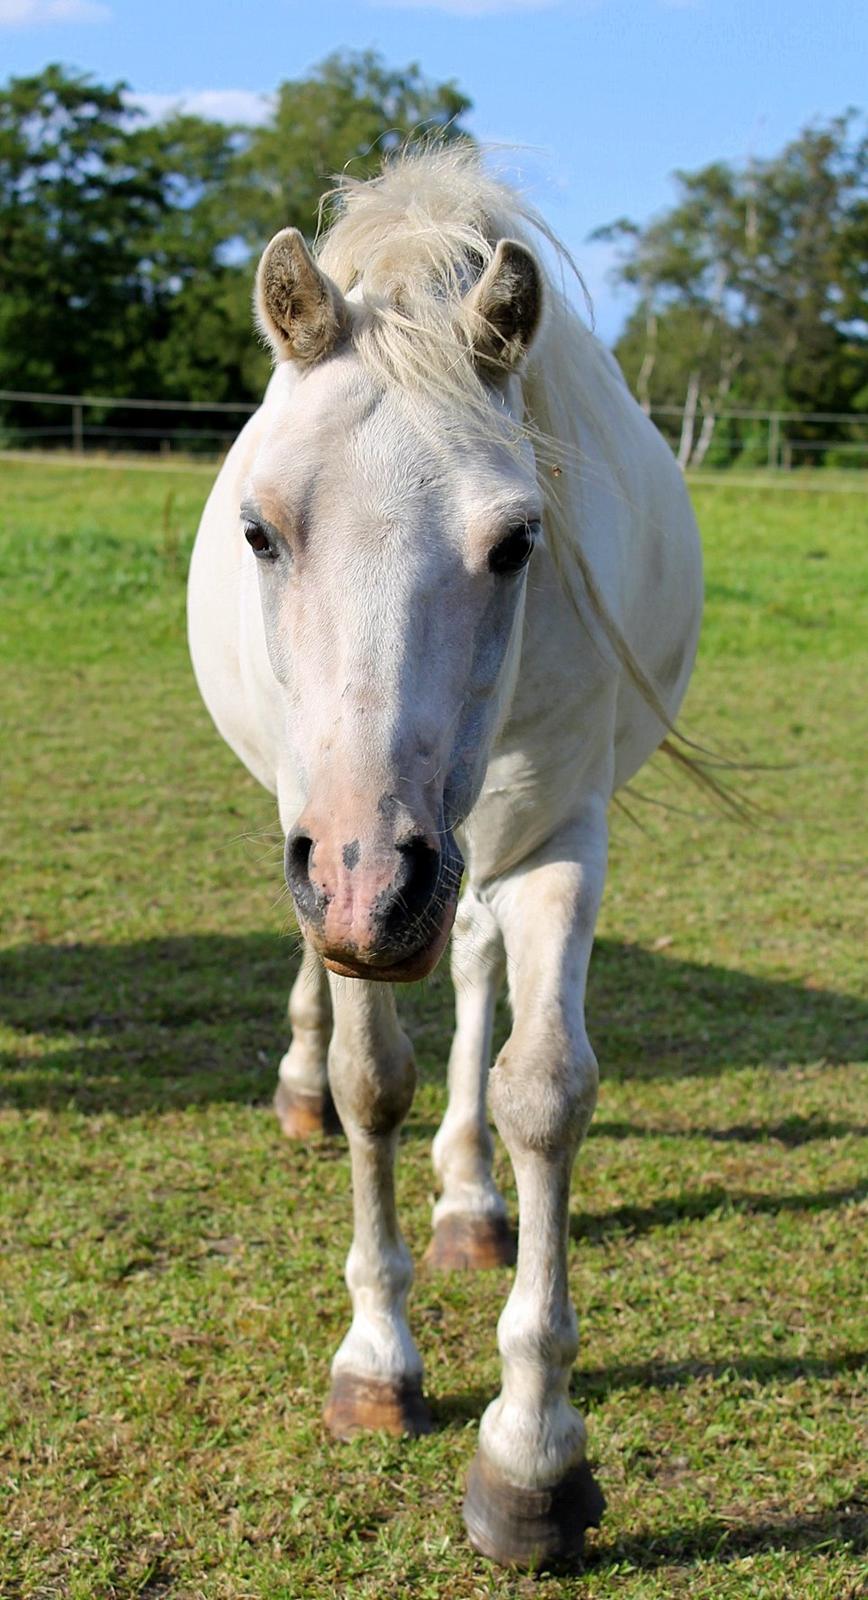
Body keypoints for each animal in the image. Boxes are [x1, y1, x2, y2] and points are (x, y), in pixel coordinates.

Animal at [187, 144, 704, 1568]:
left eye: (516, 540)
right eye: (259, 531)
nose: (375, 885)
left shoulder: (557, 835)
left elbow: (544, 1089)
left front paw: (531, 1456)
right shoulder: (328, 835)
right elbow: (373, 1083)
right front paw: (376, 1360)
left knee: (474, 975)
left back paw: (472, 1200)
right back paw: (299, 1087)